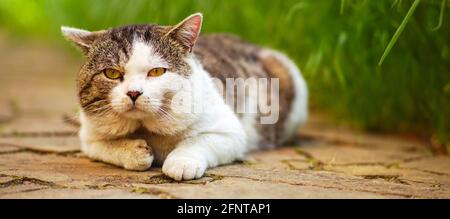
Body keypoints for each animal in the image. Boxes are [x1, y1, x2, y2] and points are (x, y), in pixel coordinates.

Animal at [61, 12, 308, 181]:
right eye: (111, 73)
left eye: (157, 71)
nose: (133, 93)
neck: (147, 128)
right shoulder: (89, 138)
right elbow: (107, 148)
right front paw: (135, 152)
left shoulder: (230, 133)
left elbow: (197, 141)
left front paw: (180, 162)